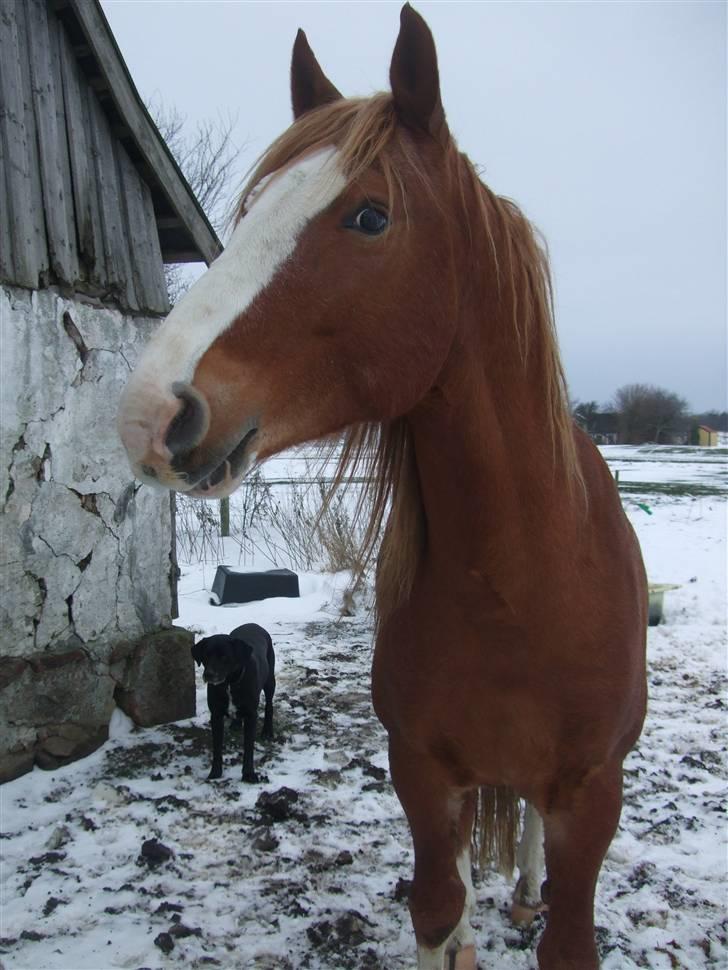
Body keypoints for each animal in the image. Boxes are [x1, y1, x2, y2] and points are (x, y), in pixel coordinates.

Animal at [191, 624, 276, 784]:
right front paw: (215, 773)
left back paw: (267, 730)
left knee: (269, 705)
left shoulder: (251, 715)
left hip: (270, 680)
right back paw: (236, 724)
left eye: (224, 657)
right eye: (206, 655)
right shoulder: (216, 715)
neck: (229, 683)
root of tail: (254, 624)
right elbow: (217, 747)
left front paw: (248, 774)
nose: (209, 675)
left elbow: (248, 747)